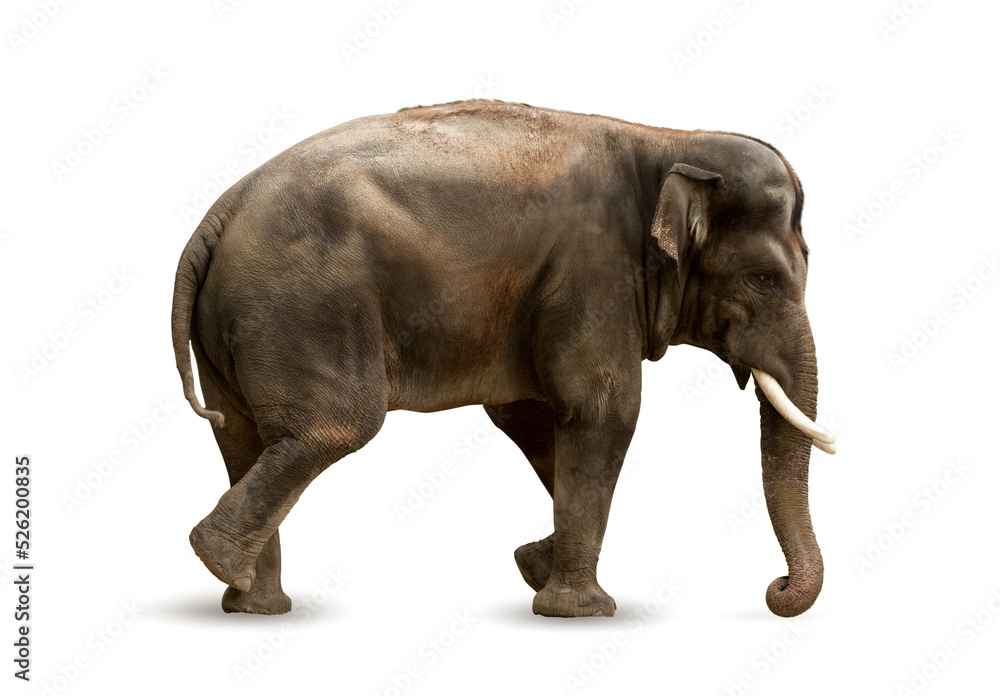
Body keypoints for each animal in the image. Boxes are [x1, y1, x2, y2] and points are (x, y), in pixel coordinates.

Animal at [172, 100, 835, 618]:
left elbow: (532, 418)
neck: (670, 141)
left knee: (244, 437)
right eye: (764, 280)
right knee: (334, 426)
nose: (775, 587)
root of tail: (218, 215)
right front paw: (581, 610)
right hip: (305, 305)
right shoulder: (593, 273)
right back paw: (219, 559)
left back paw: (250, 601)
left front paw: (533, 563)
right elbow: (603, 410)